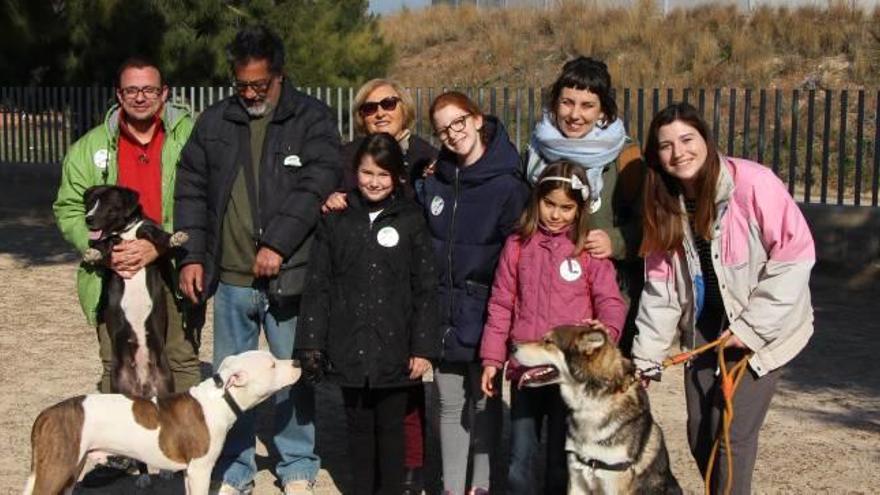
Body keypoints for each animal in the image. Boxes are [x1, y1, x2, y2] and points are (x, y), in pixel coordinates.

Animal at [21, 350, 302, 495]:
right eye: (272, 364)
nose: (297, 361)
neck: (220, 400)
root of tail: (46, 414)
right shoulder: (200, 469)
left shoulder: (190, 471)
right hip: (56, 470)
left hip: (70, 469)